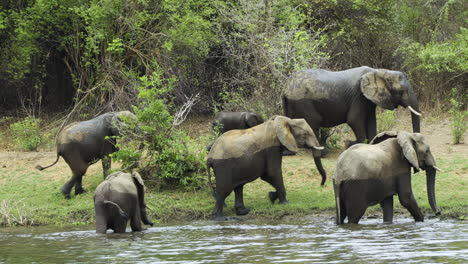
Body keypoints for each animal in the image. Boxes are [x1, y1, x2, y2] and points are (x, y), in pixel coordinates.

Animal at [284, 66, 422, 148]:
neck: (379, 71)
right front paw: (354, 145)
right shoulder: (358, 96)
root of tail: (286, 88)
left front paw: (372, 144)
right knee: (313, 122)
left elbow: (371, 121)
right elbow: (354, 120)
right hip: (304, 103)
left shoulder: (367, 100)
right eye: (401, 92)